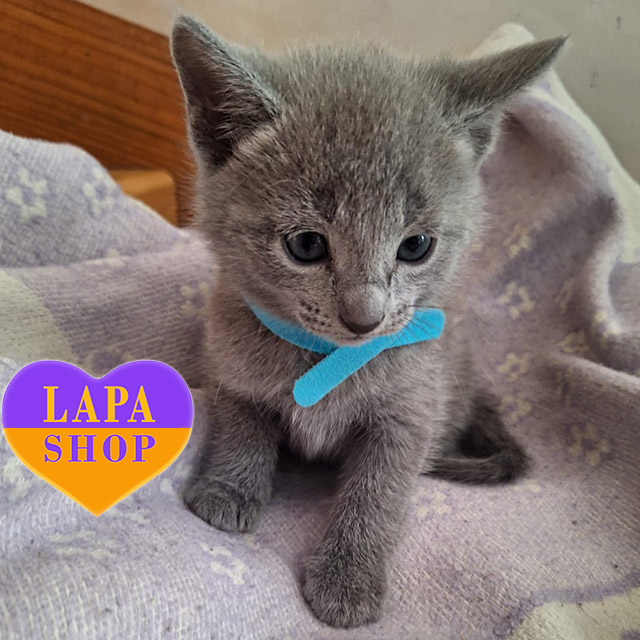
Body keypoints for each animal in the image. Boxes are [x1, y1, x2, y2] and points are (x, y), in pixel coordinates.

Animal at [171, 16, 564, 628]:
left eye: (417, 246)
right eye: (307, 245)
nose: (365, 317)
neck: (327, 357)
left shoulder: (410, 415)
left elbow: (378, 493)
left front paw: (348, 579)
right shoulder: (231, 365)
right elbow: (242, 424)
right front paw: (228, 491)